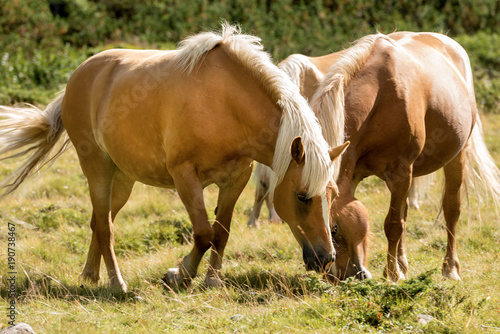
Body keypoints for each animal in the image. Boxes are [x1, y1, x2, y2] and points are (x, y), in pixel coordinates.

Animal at [0, 22, 350, 292]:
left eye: (332, 195)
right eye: (302, 196)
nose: (327, 259)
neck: (224, 103)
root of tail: (77, 77)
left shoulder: (236, 179)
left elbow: (221, 232)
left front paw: (211, 280)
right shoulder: (185, 177)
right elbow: (204, 233)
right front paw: (178, 275)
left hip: (122, 179)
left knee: (99, 221)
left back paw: (90, 275)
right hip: (97, 170)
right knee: (106, 228)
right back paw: (116, 283)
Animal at [308, 30, 500, 282]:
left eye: (334, 228)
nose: (337, 276)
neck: (380, 95)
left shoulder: (400, 172)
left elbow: (393, 225)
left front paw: (392, 274)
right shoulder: (357, 175)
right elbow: (399, 219)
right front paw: (397, 268)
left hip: (455, 158)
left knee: (451, 209)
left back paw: (450, 268)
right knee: (407, 211)